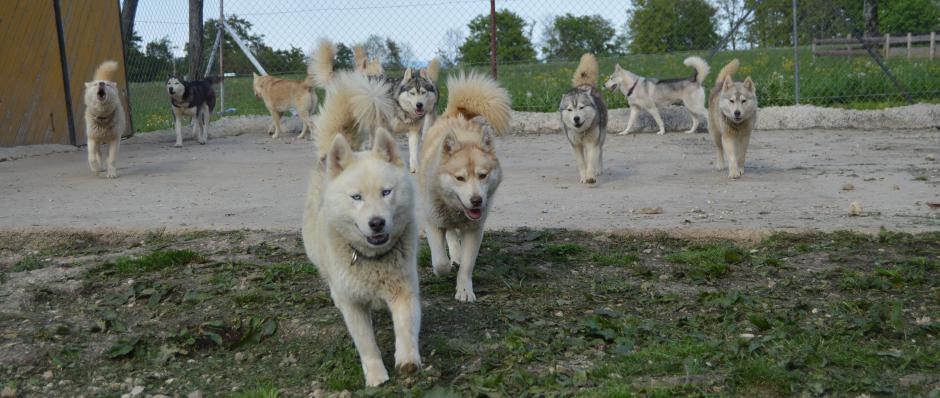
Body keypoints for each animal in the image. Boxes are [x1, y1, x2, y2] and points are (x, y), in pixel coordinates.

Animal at [302, 128, 420, 388]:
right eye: (357, 197)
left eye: (386, 192)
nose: (376, 223)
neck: (373, 260)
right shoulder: (353, 305)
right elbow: (367, 343)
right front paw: (376, 376)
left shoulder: (404, 291)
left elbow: (405, 327)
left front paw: (407, 359)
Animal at [418, 71, 510, 302]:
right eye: (460, 178)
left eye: (482, 175)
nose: (477, 200)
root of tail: (455, 114)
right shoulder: (433, 222)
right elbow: (440, 261)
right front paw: (443, 270)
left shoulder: (475, 230)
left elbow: (467, 266)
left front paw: (465, 290)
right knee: (450, 235)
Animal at [560, 53, 608, 185]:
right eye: (570, 110)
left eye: (581, 107)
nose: (576, 118)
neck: (582, 132)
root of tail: (584, 85)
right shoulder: (575, 146)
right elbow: (582, 163)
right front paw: (583, 177)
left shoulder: (593, 142)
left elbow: (591, 161)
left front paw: (590, 176)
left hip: (601, 136)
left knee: (600, 152)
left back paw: (599, 169)